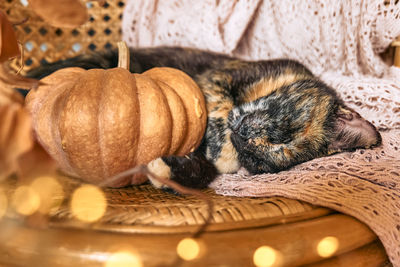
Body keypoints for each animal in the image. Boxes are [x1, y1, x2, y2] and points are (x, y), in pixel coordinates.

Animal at [26, 48, 382, 189]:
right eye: (282, 127)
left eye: (259, 163)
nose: (243, 137)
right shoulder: (218, 78)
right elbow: (221, 108)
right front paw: (222, 148)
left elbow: (200, 172)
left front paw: (170, 169)